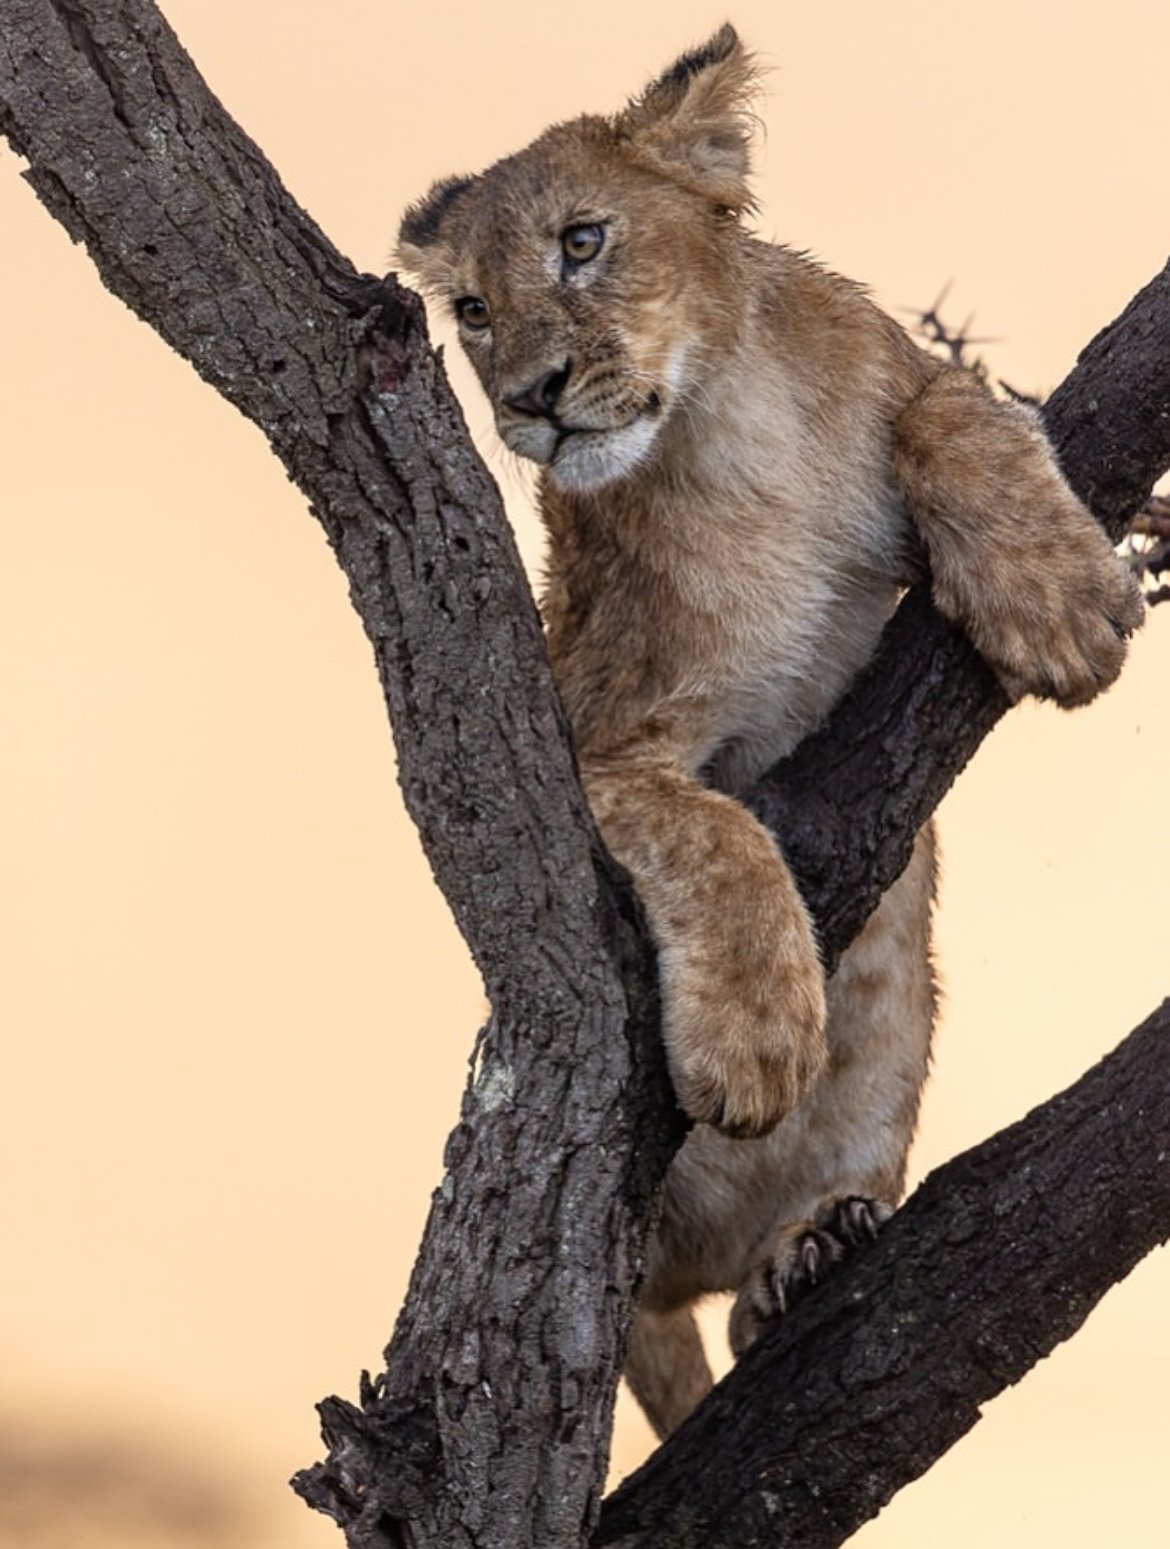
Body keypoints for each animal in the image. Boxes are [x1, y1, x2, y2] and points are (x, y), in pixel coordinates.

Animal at [396, 24, 1142, 1436]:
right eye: (468, 310)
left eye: (584, 241)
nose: (531, 396)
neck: (729, 433)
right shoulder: (585, 734)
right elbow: (717, 829)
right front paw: (752, 1041)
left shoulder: (901, 368)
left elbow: (957, 409)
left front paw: (1063, 599)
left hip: (897, 1038)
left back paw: (811, 1250)